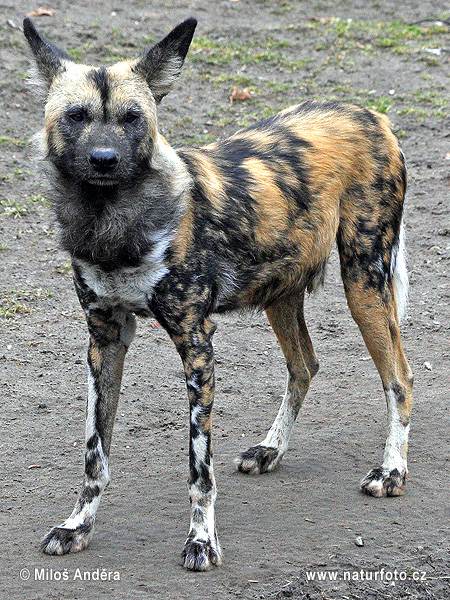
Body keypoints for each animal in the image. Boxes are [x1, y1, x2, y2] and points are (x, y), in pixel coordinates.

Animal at [22, 17, 414, 572]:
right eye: (76, 117)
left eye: (131, 118)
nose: (104, 159)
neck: (112, 223)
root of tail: (371, 114)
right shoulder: (105, 339)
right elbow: (95, 454)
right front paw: (79, 525)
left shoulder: (196, 342)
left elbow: (198, 470)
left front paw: (201, 540)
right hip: (280, 292)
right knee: (305, 364)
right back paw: (271, 450)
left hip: (364, 281)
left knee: (398, 377)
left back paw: (392, 471)